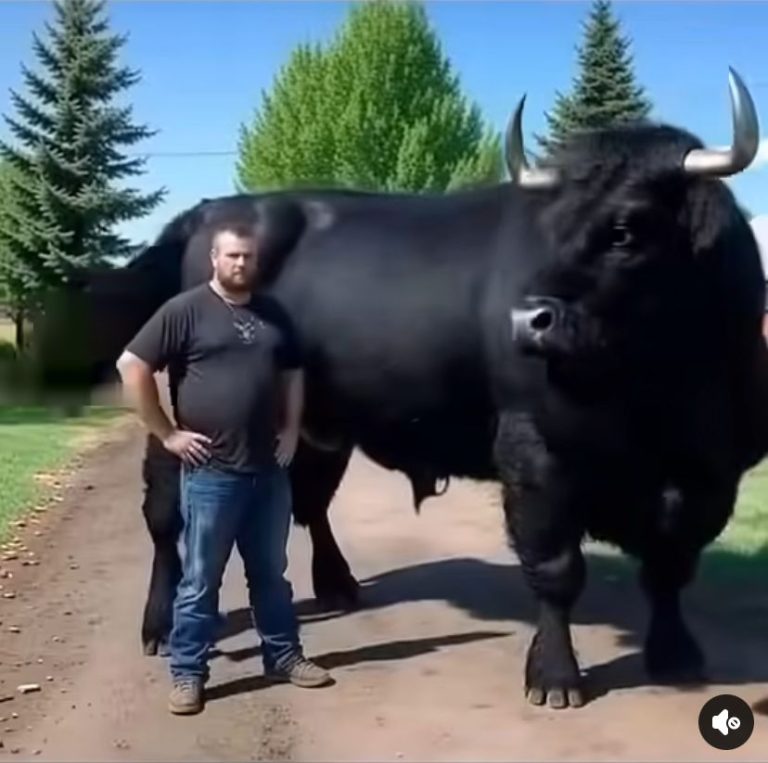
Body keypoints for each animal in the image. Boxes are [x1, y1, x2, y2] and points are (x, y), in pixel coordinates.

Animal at [31, 68, 766, 708]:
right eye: (545, 229)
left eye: (626, 228)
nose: (526, 319)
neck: (657, 400)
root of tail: (214, 210)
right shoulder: (534, 454)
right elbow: (557, 569)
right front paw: (555, 676)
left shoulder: (711, 469)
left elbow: (670, 563)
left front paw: (675, 654)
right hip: (173, 411)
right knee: (167, 517)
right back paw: (161, 626)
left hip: (316, 422)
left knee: (305, 500)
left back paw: (337, 585)